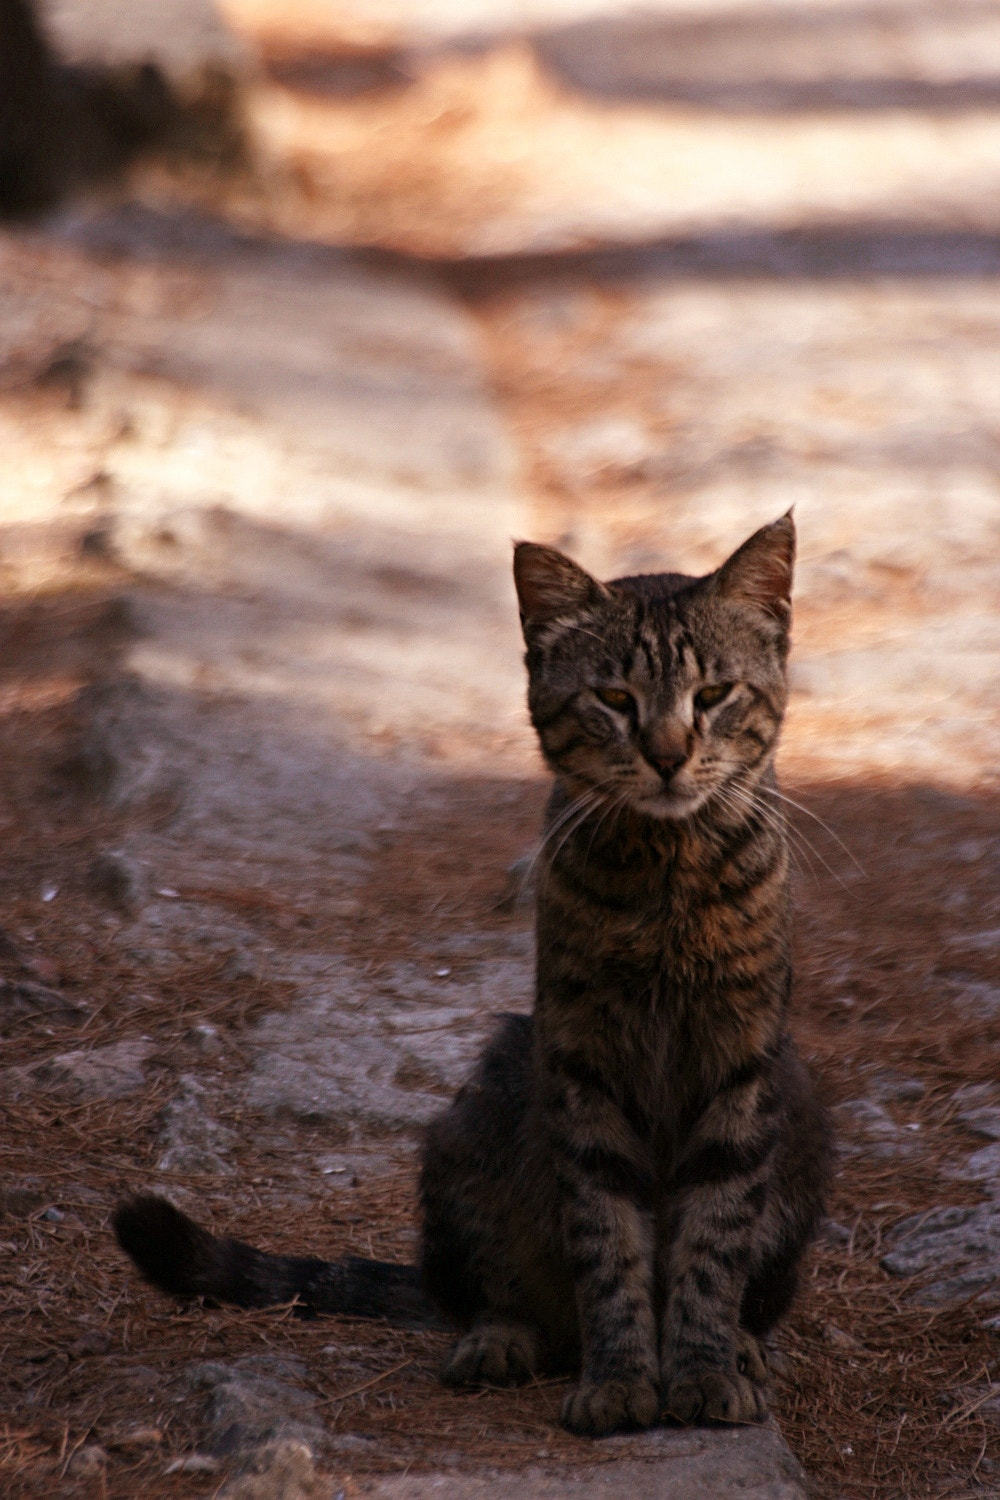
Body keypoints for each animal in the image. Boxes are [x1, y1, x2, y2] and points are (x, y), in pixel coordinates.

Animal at [115, 519, 827, 1440]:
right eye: (615, 698)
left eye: (713, 695)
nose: (669, 756)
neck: (669, 875)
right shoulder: (583, 1062)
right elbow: (608, 1244)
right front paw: (621, 1380)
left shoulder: (741, 1057)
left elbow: (713, 1240)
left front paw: (701, 1369)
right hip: (479, 1114)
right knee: (498, 1295)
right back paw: (500, 1340)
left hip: (802, 1119)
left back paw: (738, 1345)